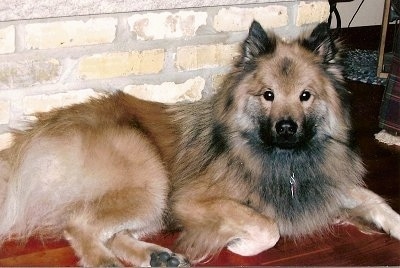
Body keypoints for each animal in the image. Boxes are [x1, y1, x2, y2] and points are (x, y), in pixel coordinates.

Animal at [0, 21, 400, 266]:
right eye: (268, 95)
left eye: (306, 95)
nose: (286, 128)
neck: (282, 159)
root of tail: (28, 141)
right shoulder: (192, 201)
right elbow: (267, 228)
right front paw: (239, 242)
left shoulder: (328, 184)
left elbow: (375, 199)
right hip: (151, 180)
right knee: (79, 224)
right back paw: (106, 260)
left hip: (150, 203)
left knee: (111, 232)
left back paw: (157, 256)